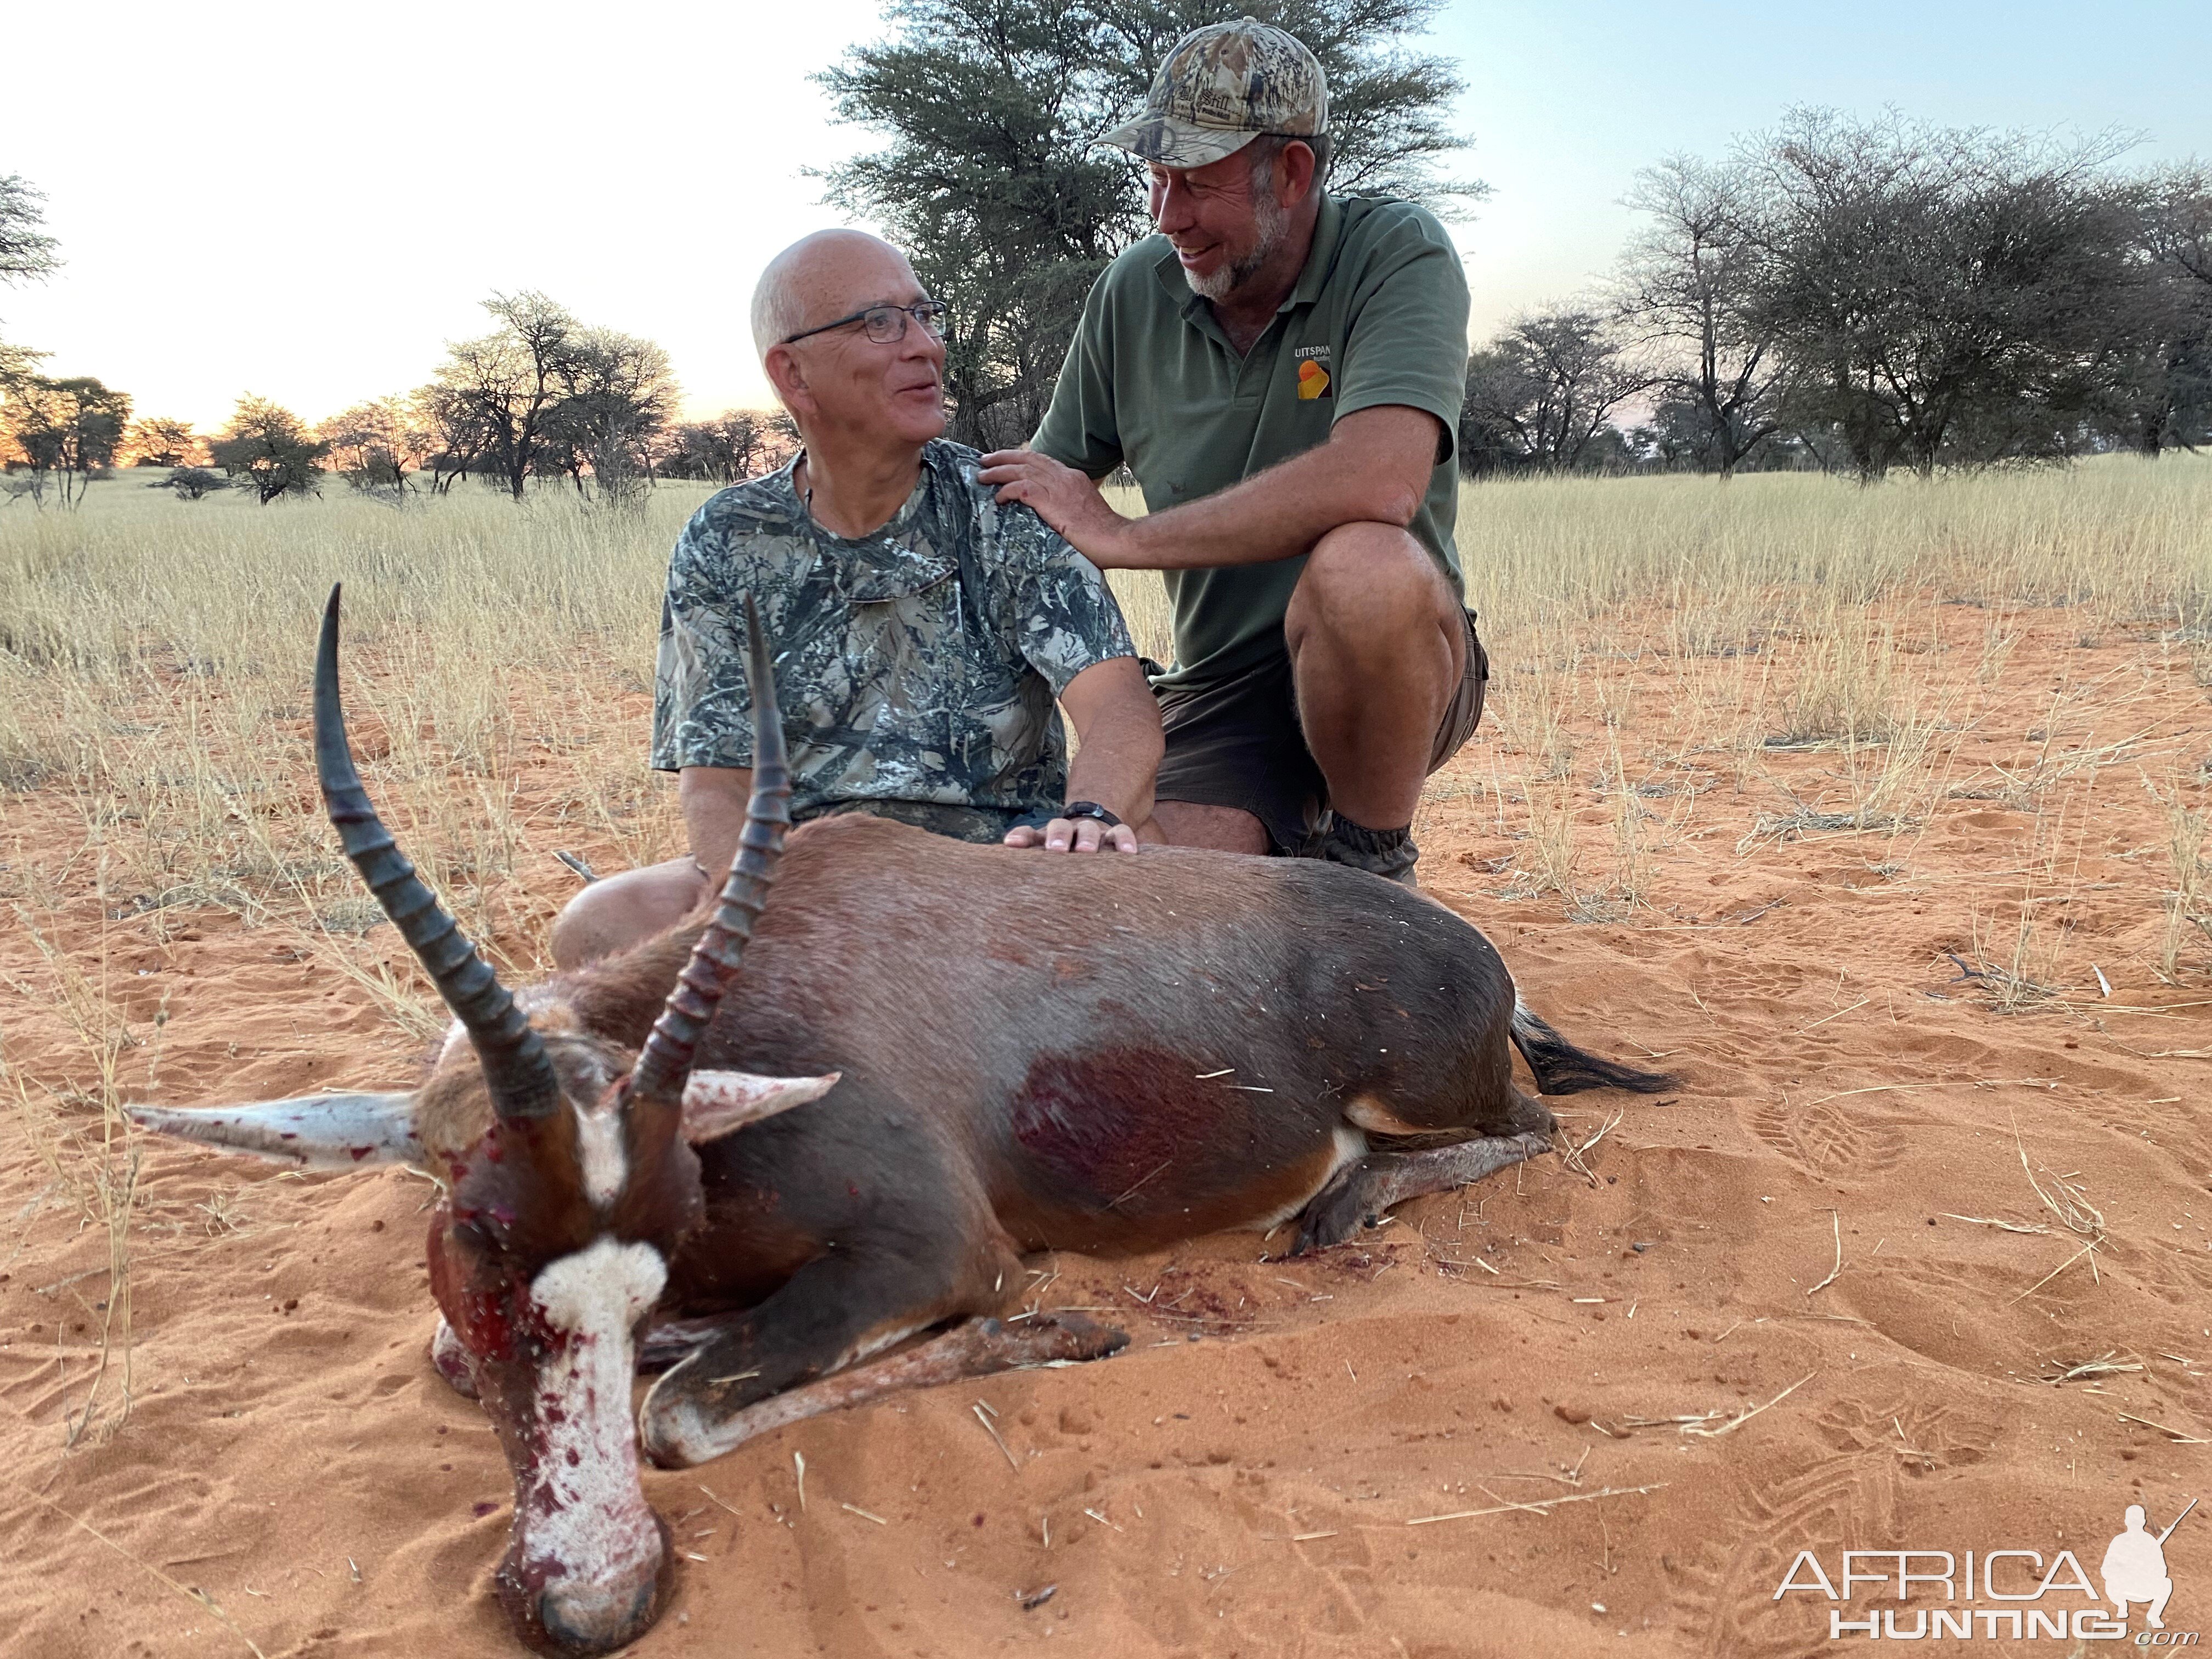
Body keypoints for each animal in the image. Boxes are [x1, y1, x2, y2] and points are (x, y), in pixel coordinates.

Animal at [129, 592, 1663, 1654]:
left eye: (660, 1230)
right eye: (482, 1250)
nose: (599, 1604)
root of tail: (1475, 956)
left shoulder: (930, 1251)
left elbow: (682, 1413)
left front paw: (1054, 1330)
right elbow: (479, 1361)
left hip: (1420, 1092)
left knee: (1526, 1130)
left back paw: (1340, 1203)